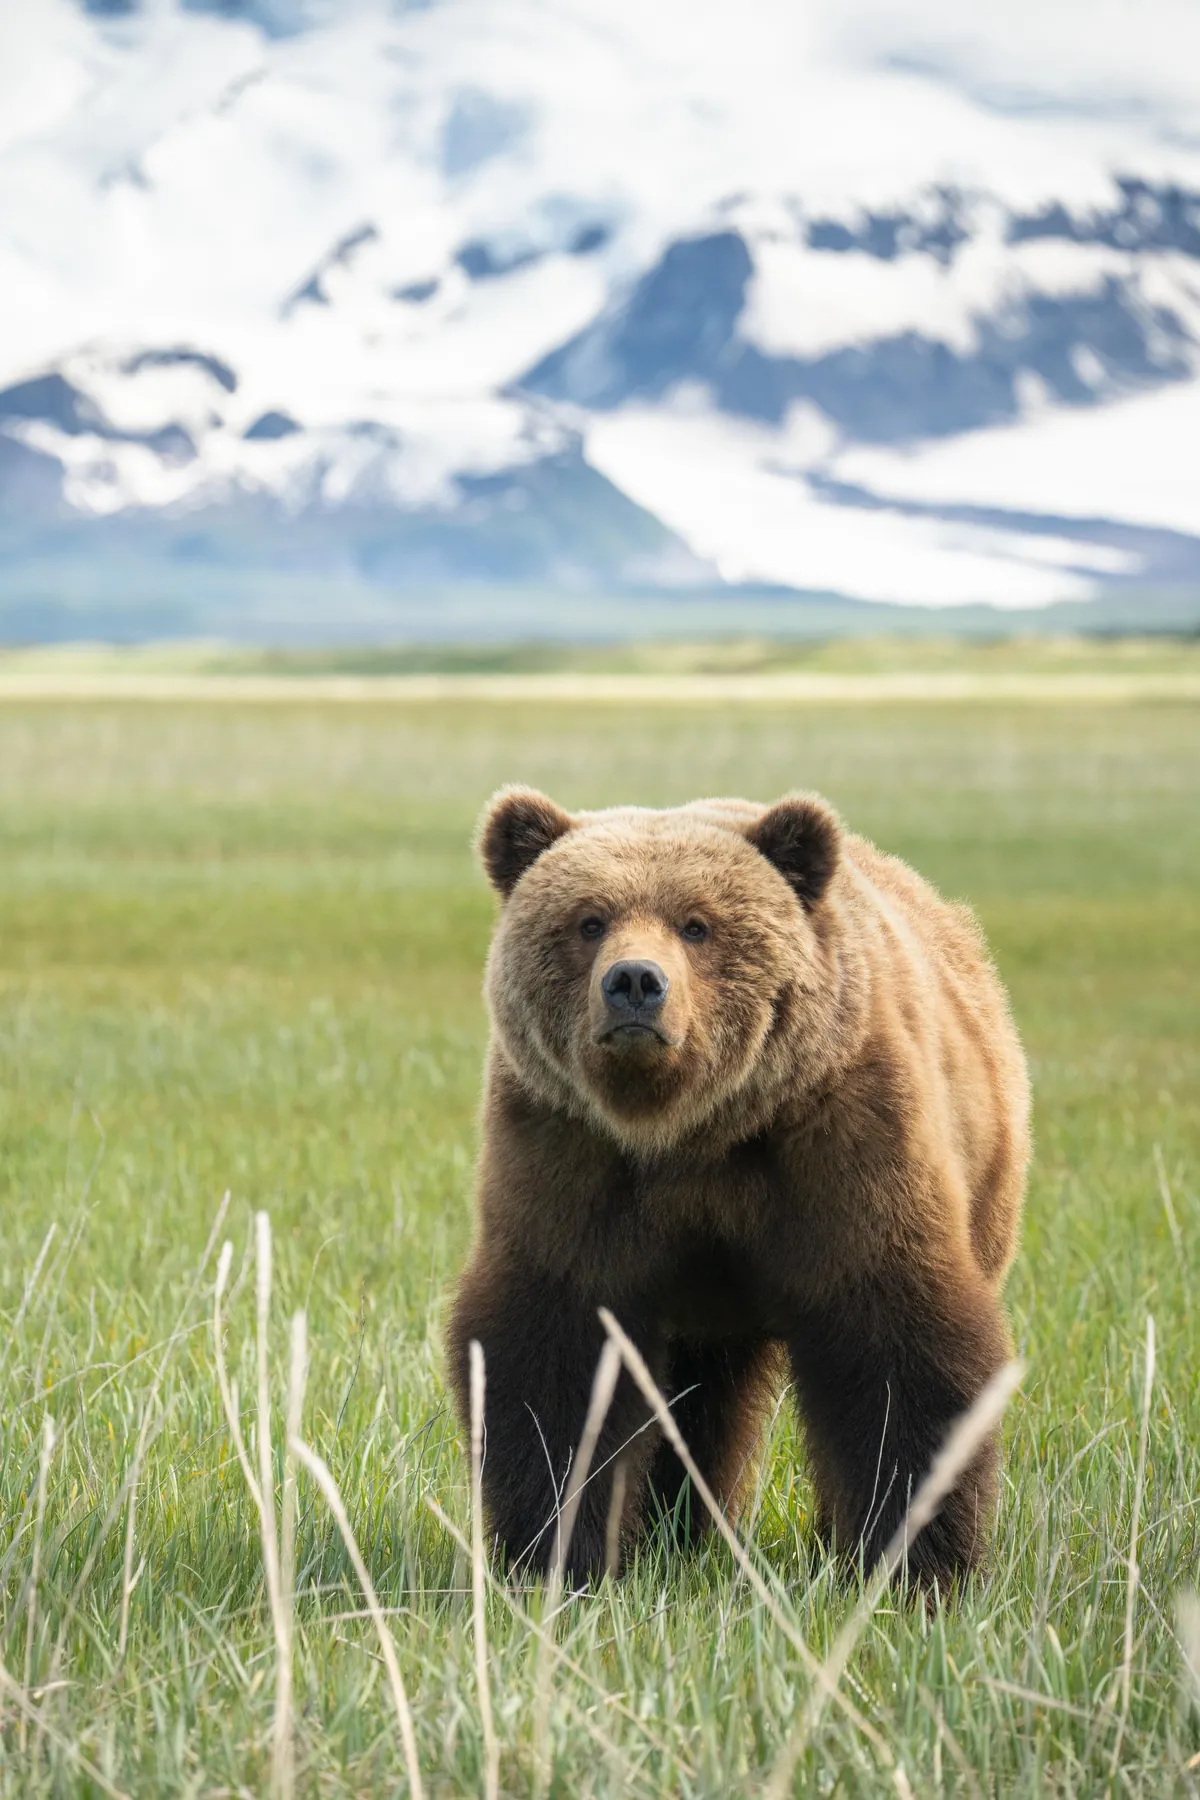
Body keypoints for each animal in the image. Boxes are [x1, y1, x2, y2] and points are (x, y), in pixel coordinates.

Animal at [448, 785, 1030, 1591]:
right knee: (700, 1400)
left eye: (698, 924)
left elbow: (896, 1347)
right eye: (589, 919)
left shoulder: (839, 1145)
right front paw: (555, 1557)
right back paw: (675, 1537)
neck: (694, 1132)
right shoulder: (570, 1155)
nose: (635, 982)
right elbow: (555, 1353)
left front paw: (915, 1565)